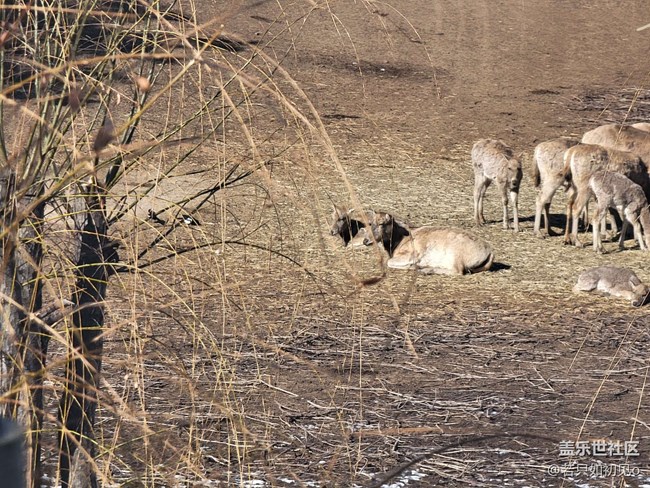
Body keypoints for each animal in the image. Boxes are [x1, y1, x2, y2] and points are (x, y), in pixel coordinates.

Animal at [363, 211, 494, 275]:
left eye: (381, 223)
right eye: (370, 223)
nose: (366, 240)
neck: (399, 240)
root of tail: (489, 251)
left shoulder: (411, 255)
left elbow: (388, 262)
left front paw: (414, 266)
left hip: (456, 257)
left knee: (459, 271)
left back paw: (425, 270)